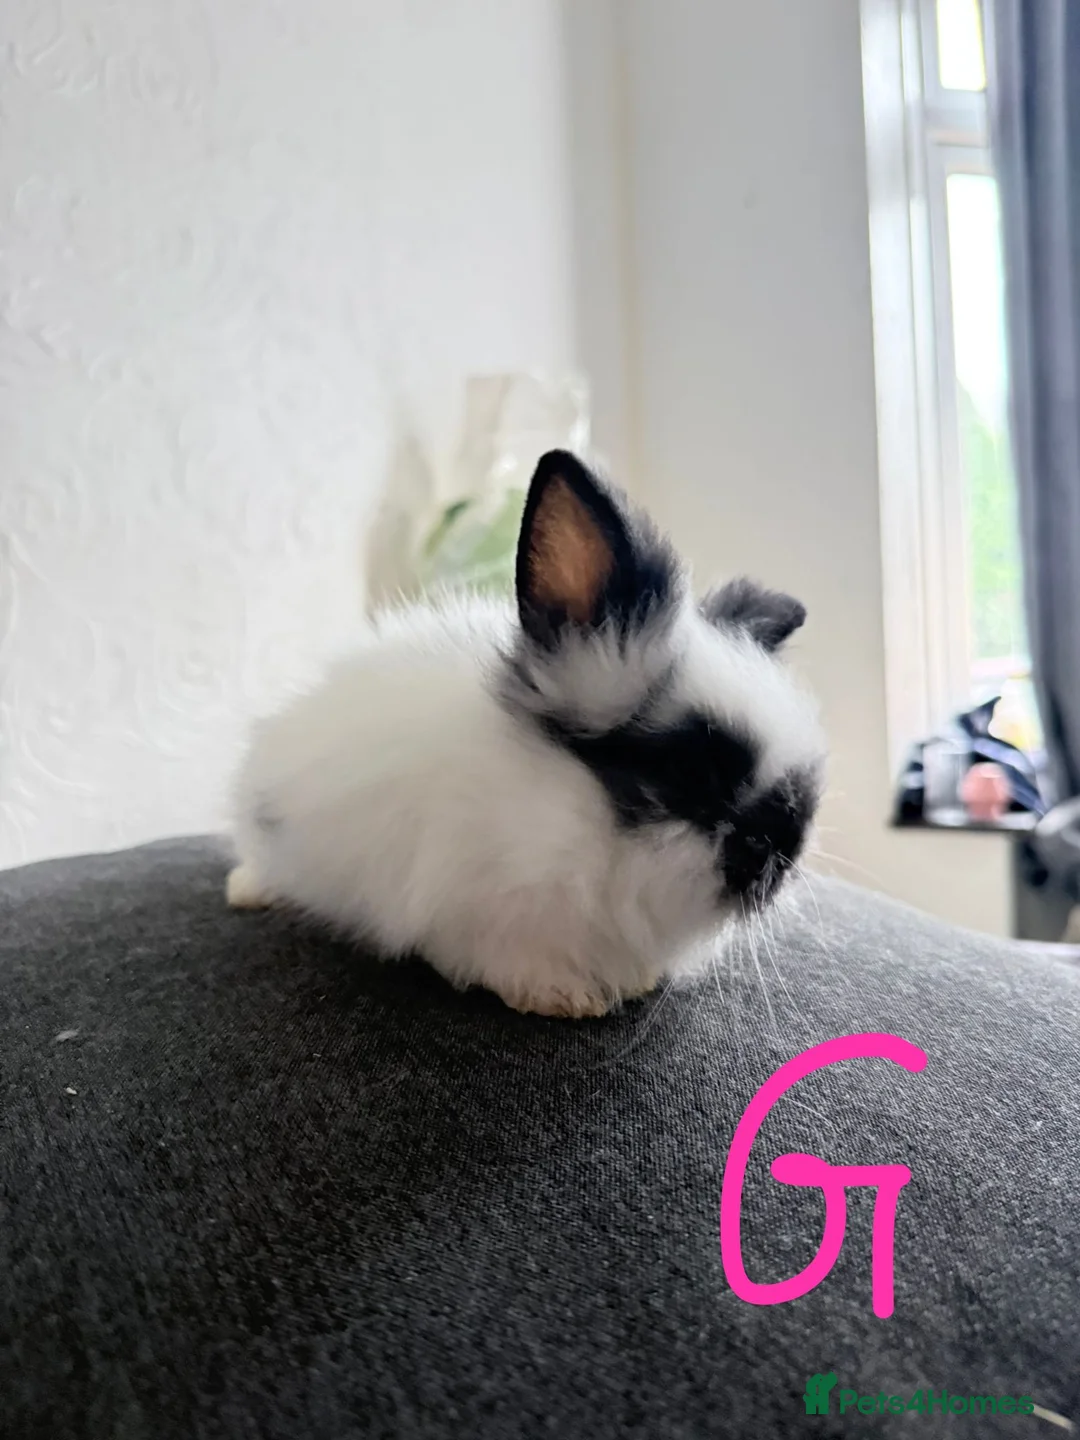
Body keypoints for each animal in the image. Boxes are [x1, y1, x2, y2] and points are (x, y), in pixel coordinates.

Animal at [227, 449, 825, 1018]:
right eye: (692, 769)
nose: (786, 851)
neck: (570, 810)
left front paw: (633, 982)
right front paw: (562, 999)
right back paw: (248, 894)